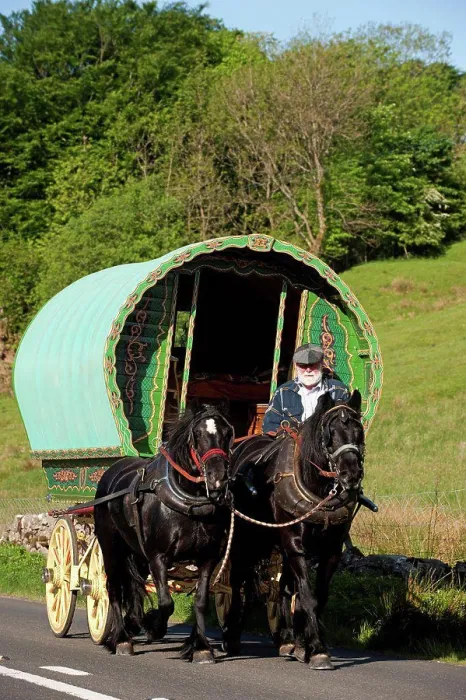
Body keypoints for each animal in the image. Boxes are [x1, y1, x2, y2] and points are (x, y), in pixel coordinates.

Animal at [94, 403, 234, 662]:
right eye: (197, 434)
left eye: (227, 432)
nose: (218, 478)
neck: (190, 503)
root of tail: (111, 472)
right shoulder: (158, 557)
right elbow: (166, 602)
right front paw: (154, 627)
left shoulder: (208, 558)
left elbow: (200, 601)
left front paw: (200, 647)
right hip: (111, 549)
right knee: (113, 588)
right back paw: (121, 639)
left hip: (136, 554)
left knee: (133, 586)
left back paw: (132, 622)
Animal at [222, 389, 365, 670]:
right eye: (330, 434)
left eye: (359, 431)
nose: (351, 475)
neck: (318, 491)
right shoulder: (295, 545)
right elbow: (307, 596)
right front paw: (318, 650)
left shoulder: (331, 551)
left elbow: (316, 596)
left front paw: (303, 645)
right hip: (247, 540)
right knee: (238, 581)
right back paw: (231, 634)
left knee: (283, 588)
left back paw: (287, 639)